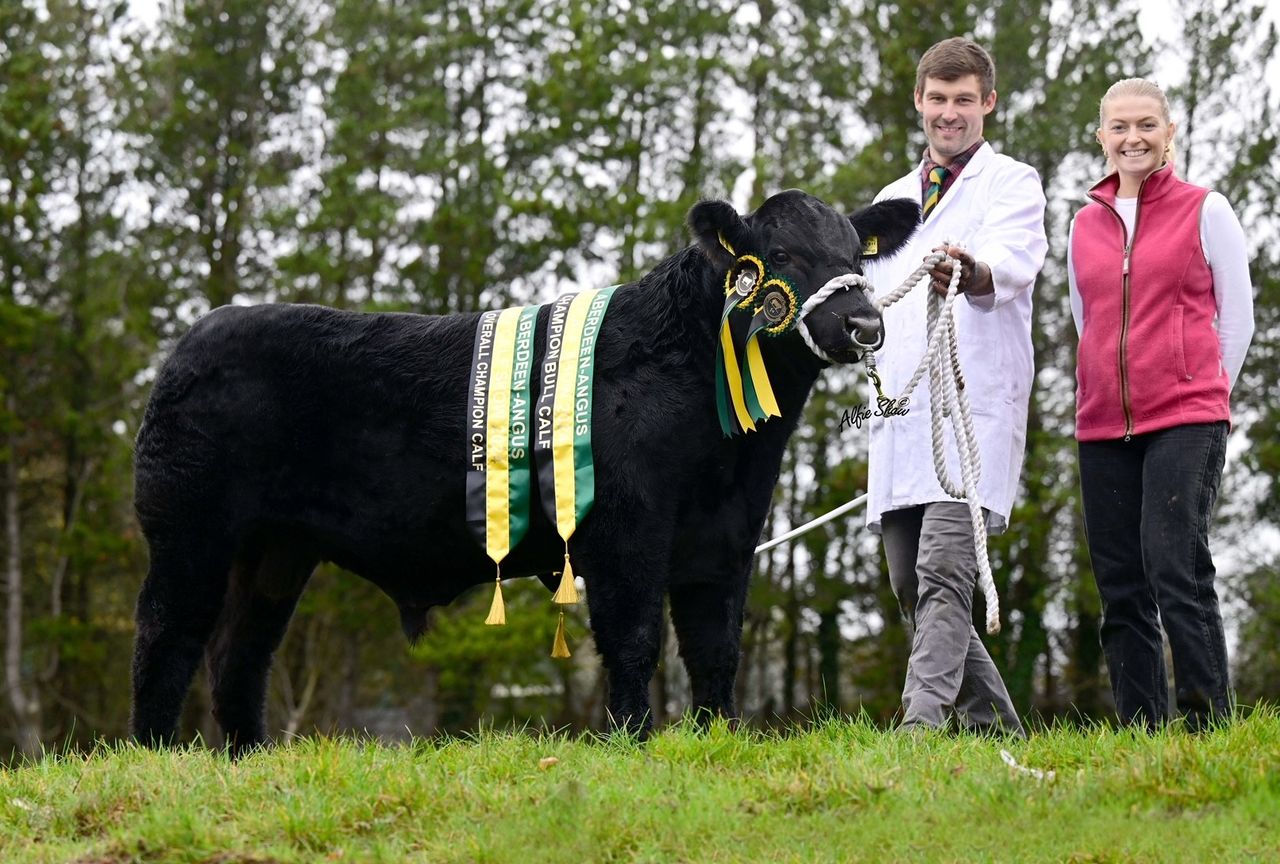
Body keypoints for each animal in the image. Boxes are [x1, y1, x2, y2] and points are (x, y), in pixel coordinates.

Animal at [130, 189, 919, 755]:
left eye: (856, 253)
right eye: (780, 251)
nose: (864, 325)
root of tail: (194, 338)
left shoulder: (725, 536)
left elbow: (715, 648)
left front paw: (719, 740)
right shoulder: (625, 528)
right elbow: (635, 637)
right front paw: (633, 744)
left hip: (276, 549)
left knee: (241, 651)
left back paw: (248, 759)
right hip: (189, 528)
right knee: (168, 631)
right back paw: (154, 754)